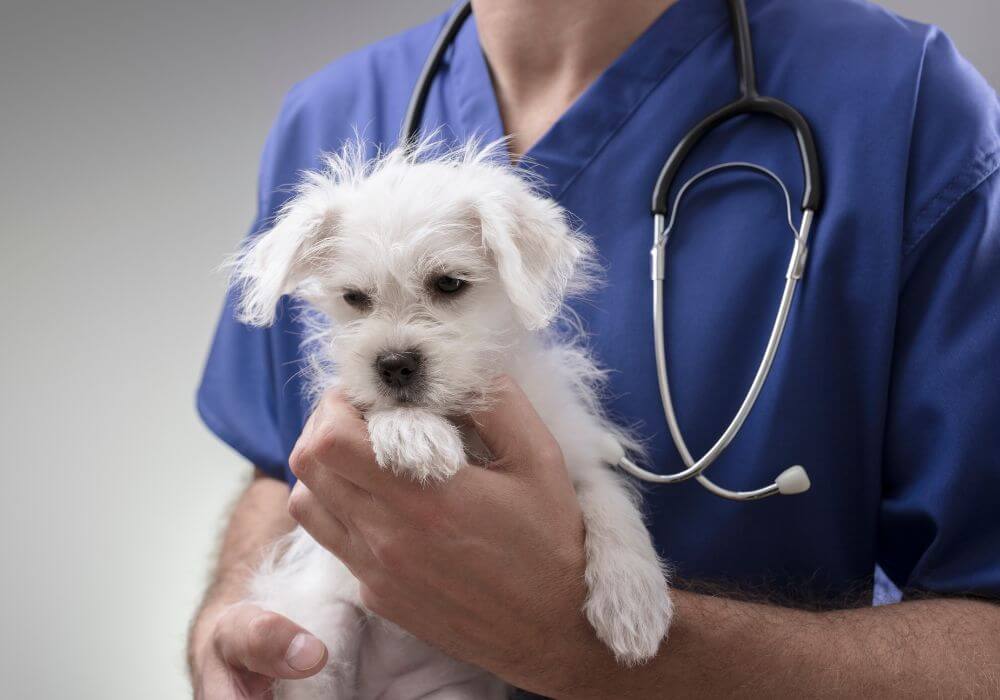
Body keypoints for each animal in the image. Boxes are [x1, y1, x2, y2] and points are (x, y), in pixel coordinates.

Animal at [230, 139, 676, 696]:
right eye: (354, 298)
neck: (458, 414)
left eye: (448, 284)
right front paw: (413, 433)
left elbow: (609, 501)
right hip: (321, 636)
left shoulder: (571, 455)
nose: (393, 364)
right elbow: (381, 411)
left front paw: (633, 600)